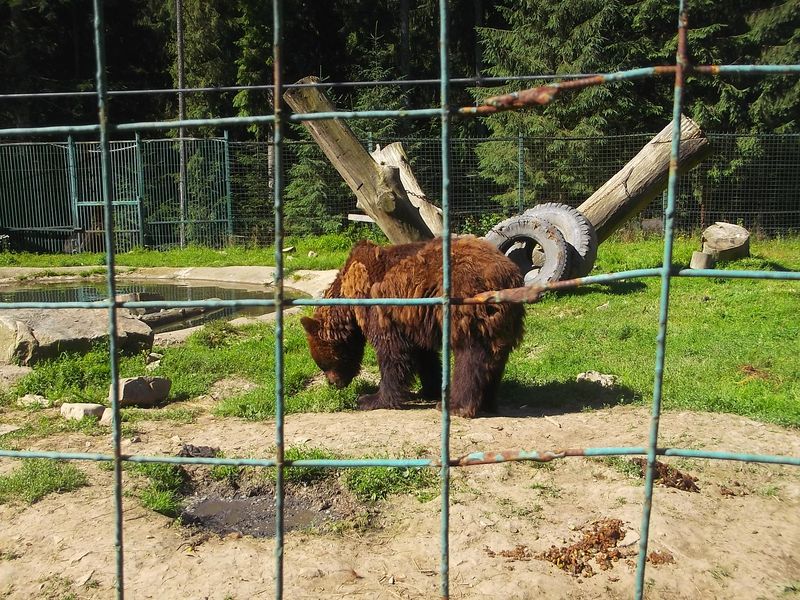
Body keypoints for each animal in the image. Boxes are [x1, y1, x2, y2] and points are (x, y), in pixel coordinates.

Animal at [301, 236, 524, 418]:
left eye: (323, 363)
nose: (334, 384)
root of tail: (509, 273)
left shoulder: (380, 308)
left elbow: (392, 351)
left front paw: (371, 399)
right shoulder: (413, 321)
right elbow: (424, 355)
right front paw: (428, 389)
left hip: (468, 304)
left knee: (470, 355)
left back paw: (455, 405)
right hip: (503, 320)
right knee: (494, 356)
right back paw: (487, 402)